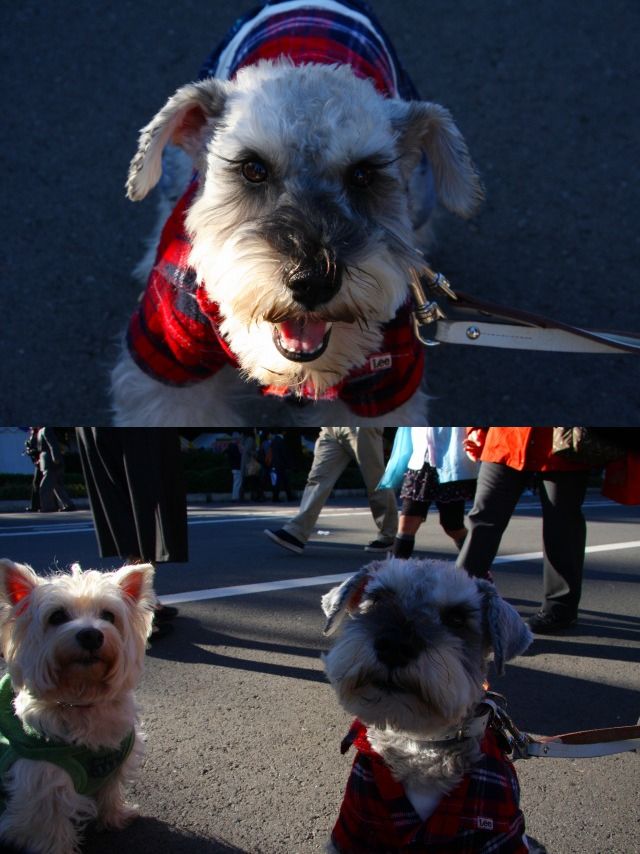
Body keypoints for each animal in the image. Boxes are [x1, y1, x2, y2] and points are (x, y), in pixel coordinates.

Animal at [0, 560, 156, 854]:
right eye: (57, 616)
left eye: (108, 615)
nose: (91, 635)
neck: (82, 701)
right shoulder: (44, 783)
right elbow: (52, 828)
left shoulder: (117, 761)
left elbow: (110, 792)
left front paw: (116, 817)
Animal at [320, 560, 540, 854]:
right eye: (377, 599)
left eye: (457, 618)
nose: (394, 645)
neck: (419, 744)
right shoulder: (353, 827)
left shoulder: (501, 835)